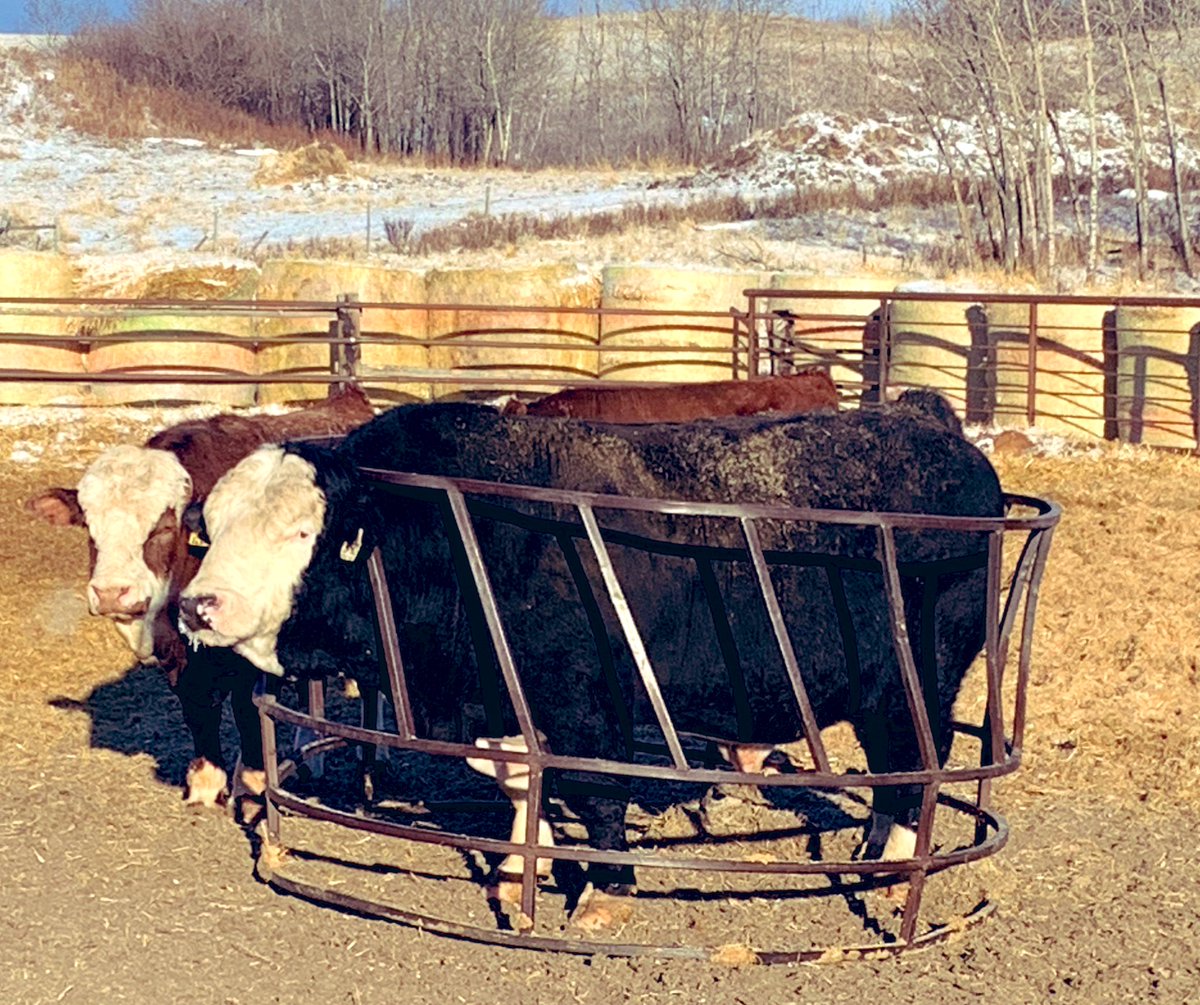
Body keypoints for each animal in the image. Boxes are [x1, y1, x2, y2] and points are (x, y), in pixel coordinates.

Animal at [25, 386, 376, 815]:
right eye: (90, 528)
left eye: (162, 527)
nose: (111, 592)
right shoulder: (179, 658)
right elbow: (197, 708)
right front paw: (207, 783)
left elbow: (246, 710)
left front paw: (252, 784)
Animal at [178, 392, 1002, 928]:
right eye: (210, 529)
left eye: (298, 533)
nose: (196, 606)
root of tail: (927, 420)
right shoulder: (502, 704)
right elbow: (520, 782)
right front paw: (521, 864)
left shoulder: (588, 701)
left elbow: (597, 791)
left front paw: (604, 890)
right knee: (899, 767)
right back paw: (875, 852)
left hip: (920, 679)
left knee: (919, 760)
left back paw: (896, 870)